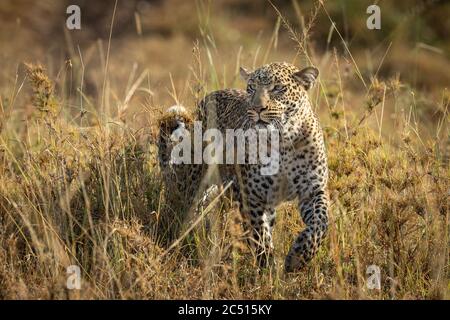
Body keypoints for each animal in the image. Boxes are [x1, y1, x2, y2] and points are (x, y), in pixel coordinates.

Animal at [159, 61, 330, 272]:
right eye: (252, 88)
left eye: (277, 88)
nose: (258, 108)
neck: (284, 140)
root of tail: (205, 99)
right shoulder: (251, 197)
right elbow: (260, 236)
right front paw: (268, 269)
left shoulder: (313, 190)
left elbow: (320, 223)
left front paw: (298, 257)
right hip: (193, 181)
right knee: (181, 209)